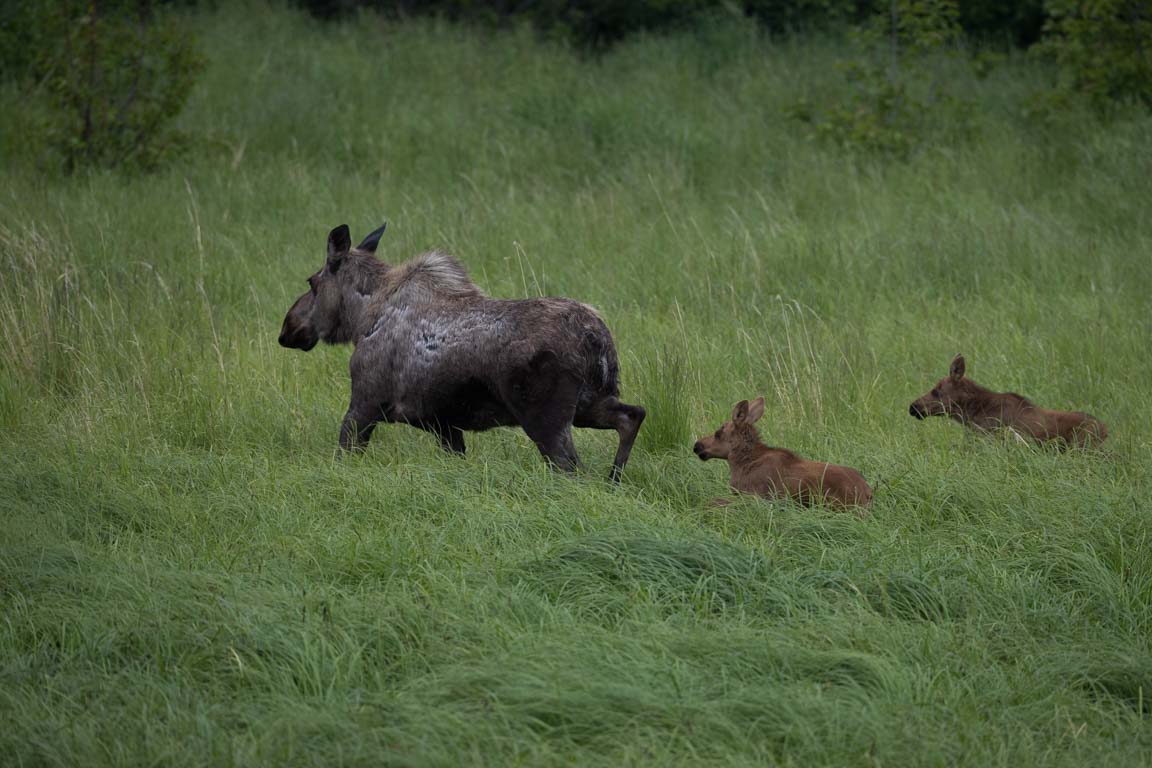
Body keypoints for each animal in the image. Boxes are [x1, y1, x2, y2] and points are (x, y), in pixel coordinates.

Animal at [275, 221, 645, 481]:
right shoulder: (442, 423)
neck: (361, 319)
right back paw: (614, 479)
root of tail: (597, 337)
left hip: (546, 417)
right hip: (589, 403)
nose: (287, 328)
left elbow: (343, 453)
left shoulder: (364, 404)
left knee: (572, 469)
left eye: (312, 282)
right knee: (632, 415)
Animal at [691, 396, 870, 511]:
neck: (739, 464)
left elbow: (713, 501)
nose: (697, 446)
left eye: (718, 433)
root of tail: (868, 493)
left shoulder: (755, 496)